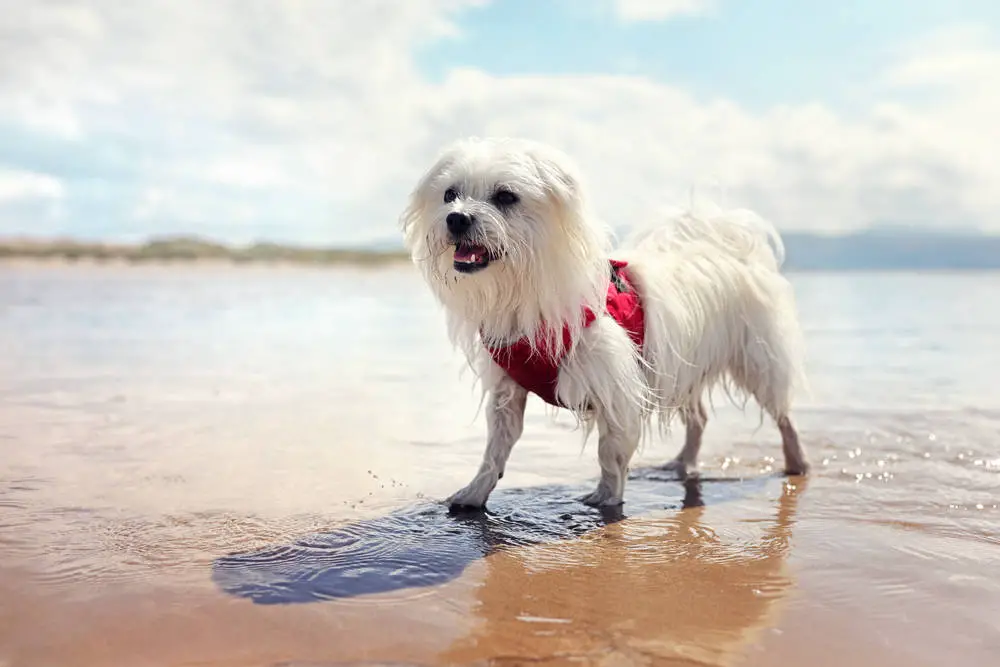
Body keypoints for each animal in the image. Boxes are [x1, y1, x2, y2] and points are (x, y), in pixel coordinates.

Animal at [396, 138, 804, 508]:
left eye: (506, 197)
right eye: (449, 194)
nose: (456, 218)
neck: (527, 293)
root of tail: (726, 244)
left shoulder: (615, 388)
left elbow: (610, 452)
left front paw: (608, 498)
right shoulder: (508, 389)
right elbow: (495, 450)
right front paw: (474, 493)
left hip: (757, 360)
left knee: (782, 415)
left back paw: (797, 463)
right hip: (684, 366)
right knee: (699, 417)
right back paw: (683, 462)